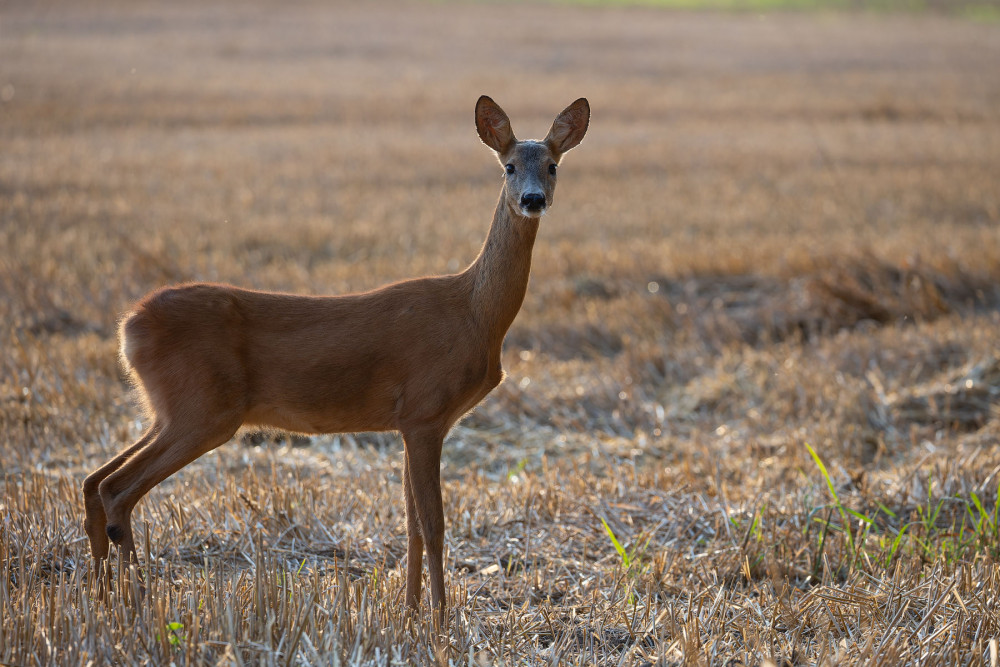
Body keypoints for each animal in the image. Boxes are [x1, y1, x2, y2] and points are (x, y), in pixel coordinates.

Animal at [86, 96, 588, 624]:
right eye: (508, 166)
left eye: (552, 165)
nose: (532, 199)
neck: (474, 313)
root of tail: (129, 327)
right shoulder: (425, 412)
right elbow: (434, 525)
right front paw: (440, 620)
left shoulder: (412, 422)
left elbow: (410, 523)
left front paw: (410, 611)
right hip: (204, 411)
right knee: (117, 489)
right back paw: (135, 602)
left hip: (170, 411)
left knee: (93, 482)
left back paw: (102, 597)